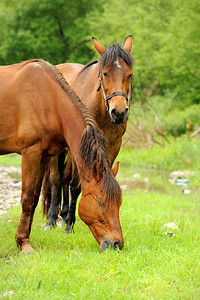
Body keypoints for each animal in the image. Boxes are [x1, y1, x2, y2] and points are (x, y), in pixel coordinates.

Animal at [0, 59, 123, 253]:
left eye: (119, 203)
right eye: (100, 201)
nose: (117, 244)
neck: (47, 98)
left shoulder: (42, 157)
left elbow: (34, 198)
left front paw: (23, 239)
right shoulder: (30, 153)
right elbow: (27, 198)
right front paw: (24, 244)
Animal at [42, 35, 134, 232]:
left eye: (129, 75)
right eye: (105, 73)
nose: (119, 112)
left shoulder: (112, 146)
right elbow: (75, 185)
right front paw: (69, 225)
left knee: (64, 177)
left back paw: (64, 213)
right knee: (56, 179)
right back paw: (52, 219)